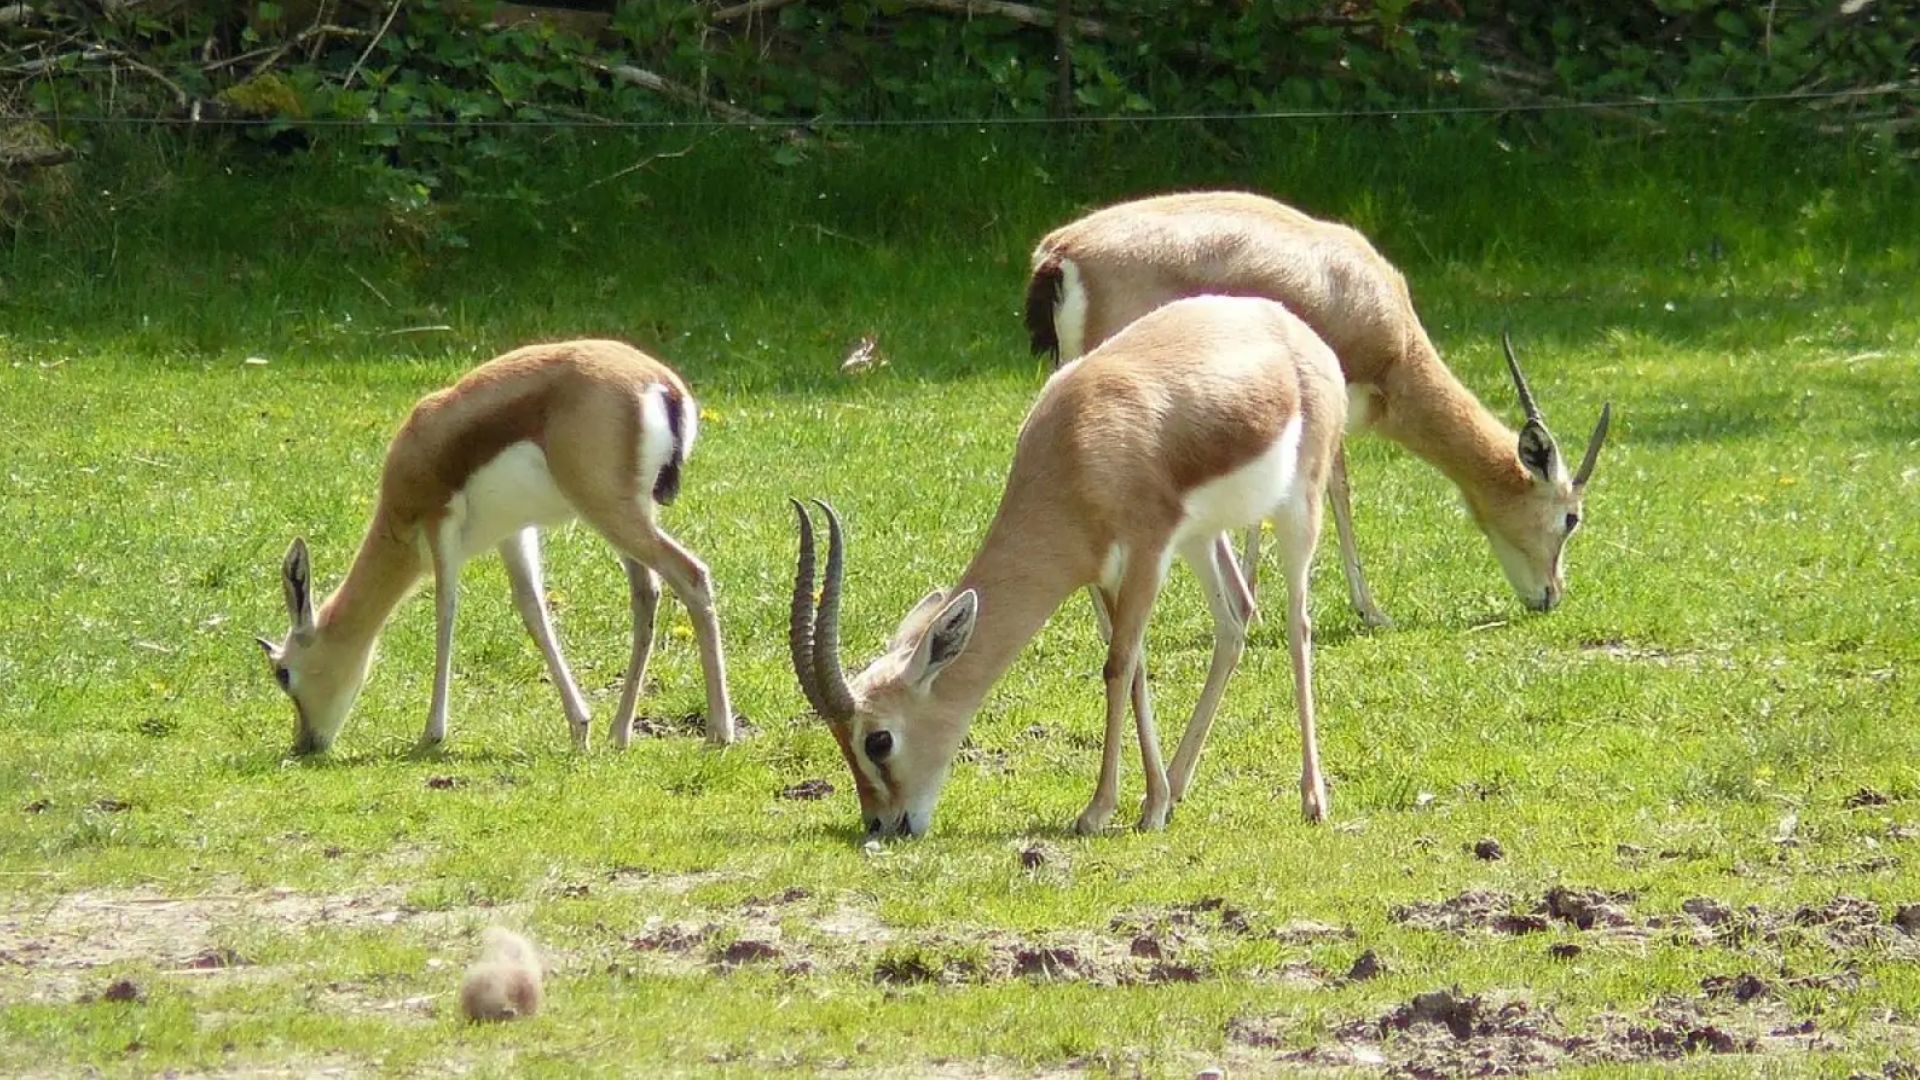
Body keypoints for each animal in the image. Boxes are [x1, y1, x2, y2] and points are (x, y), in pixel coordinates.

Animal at [255, 339, 733, 755]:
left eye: (283, 673)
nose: (305, 744)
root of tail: (661, 384)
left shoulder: (439, 523)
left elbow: (446, 610)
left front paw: (431, 735)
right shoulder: (513, 533)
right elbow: (533, 612)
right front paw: (579, 727)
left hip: (610, 512)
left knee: (691, 574)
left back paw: (719, 732)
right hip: (629, 515)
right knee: (647, 593)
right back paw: (620, 733)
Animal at [790, 295, 1346, 837]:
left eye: (878, 740)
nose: (883, 824)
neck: (1079, 446)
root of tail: (1298, 332)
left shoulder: (1147, 555)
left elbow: (1117, 666)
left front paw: (1102, 812)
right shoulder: (1104, 575)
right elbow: (1133, 667)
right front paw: (1151, 802)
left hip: (1298, 510)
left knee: (1297, 625)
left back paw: (1313, 799)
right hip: (1201, 538)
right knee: (1235, 620)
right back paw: (1179, 785)